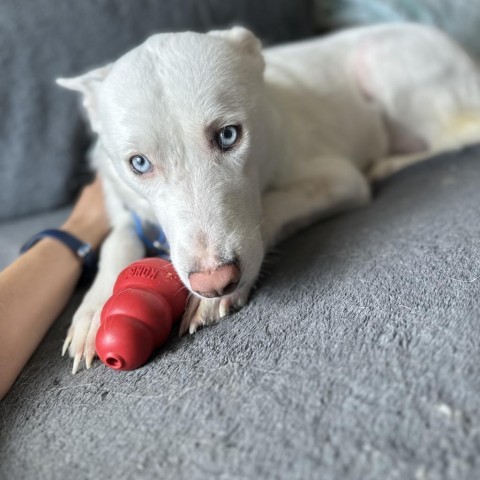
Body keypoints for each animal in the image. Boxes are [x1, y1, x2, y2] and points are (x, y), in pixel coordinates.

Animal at [58, 22, 480, 374]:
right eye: (140, 164)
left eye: (229, 135)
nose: (215, 283)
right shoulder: (124, 206)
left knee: (455, 136)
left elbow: (276, 205)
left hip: (380, 61)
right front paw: (95, 307)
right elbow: (117, 239)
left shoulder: (340, 179)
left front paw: (211, 299)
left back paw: (390, 163)